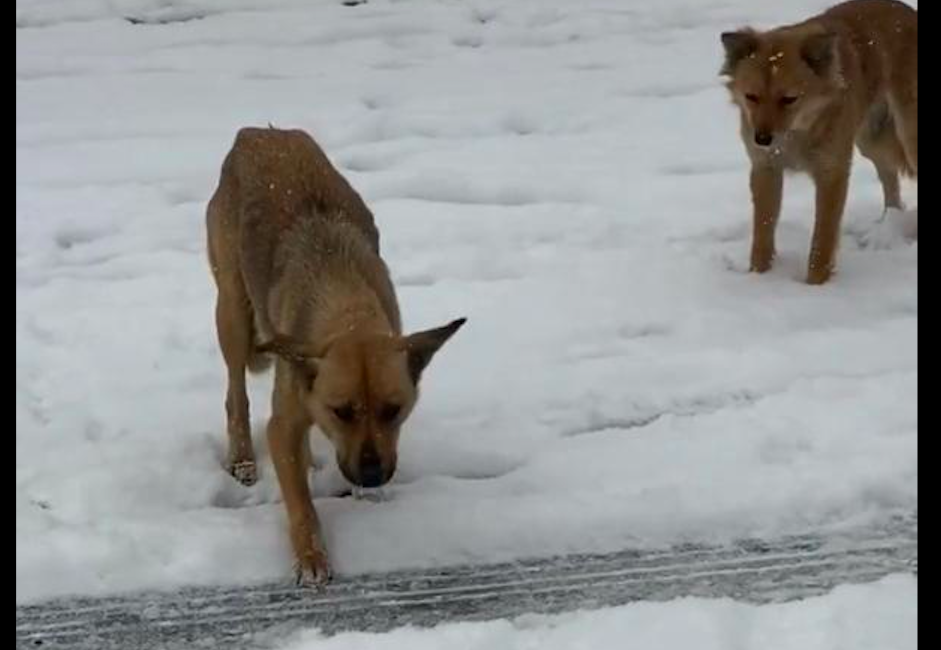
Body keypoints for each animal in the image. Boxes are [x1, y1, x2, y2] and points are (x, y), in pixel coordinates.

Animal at [209, 125, 466, 584]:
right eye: (341, 411)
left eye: (394, 410)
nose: (372, 475)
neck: (346, 311)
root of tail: (256, 133)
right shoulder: (283, 423)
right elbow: (299, 500)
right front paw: (311, 556)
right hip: (233, 311)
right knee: (235, 392)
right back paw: (242, 457)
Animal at [720, 0, 916, 284]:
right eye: (751, 97)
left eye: (789, 99)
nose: (762, 139)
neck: (797, 133)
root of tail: (908, 12)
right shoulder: (765, 169)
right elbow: (763, 232)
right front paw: (759, 278)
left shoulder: (831, 172)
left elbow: (822, 239)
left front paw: (815, 285)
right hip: (871, 141)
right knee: (891, 183)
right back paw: (889, 225)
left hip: (909, 135)